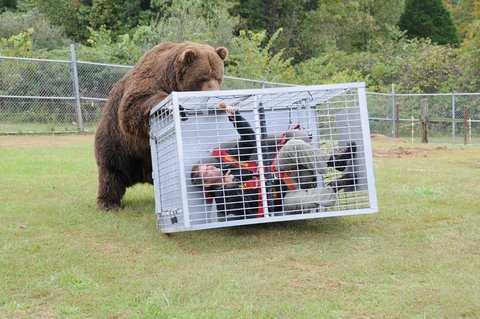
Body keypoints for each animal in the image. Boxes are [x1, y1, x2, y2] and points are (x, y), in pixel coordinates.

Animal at [95, 43, 229, 212]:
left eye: (219, 77)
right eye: (203, 77)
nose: (214, 94)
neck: (171, 80)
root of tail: (142, 174)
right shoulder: (150, 79)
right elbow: (135, 104)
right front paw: (173, 106)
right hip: (118, 143)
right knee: (112, 171)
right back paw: (108, 204)